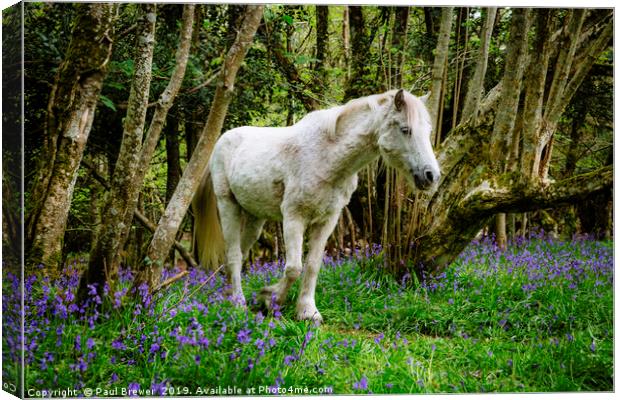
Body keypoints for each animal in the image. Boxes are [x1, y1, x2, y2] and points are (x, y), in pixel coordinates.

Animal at [194, 89, 440, 324]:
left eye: (428, 131)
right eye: (406, 129)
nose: (432, 176)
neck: (327, 156)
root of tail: (223, 139)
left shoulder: (327, 221)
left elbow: (312, 266)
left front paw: (306, 311)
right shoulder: (294, 217)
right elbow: (294, 268)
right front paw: (271, 299)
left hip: (255, 217)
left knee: (240, 253)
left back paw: (228, 294)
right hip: (228, 205)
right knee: (234, 255)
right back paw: (238, 303)